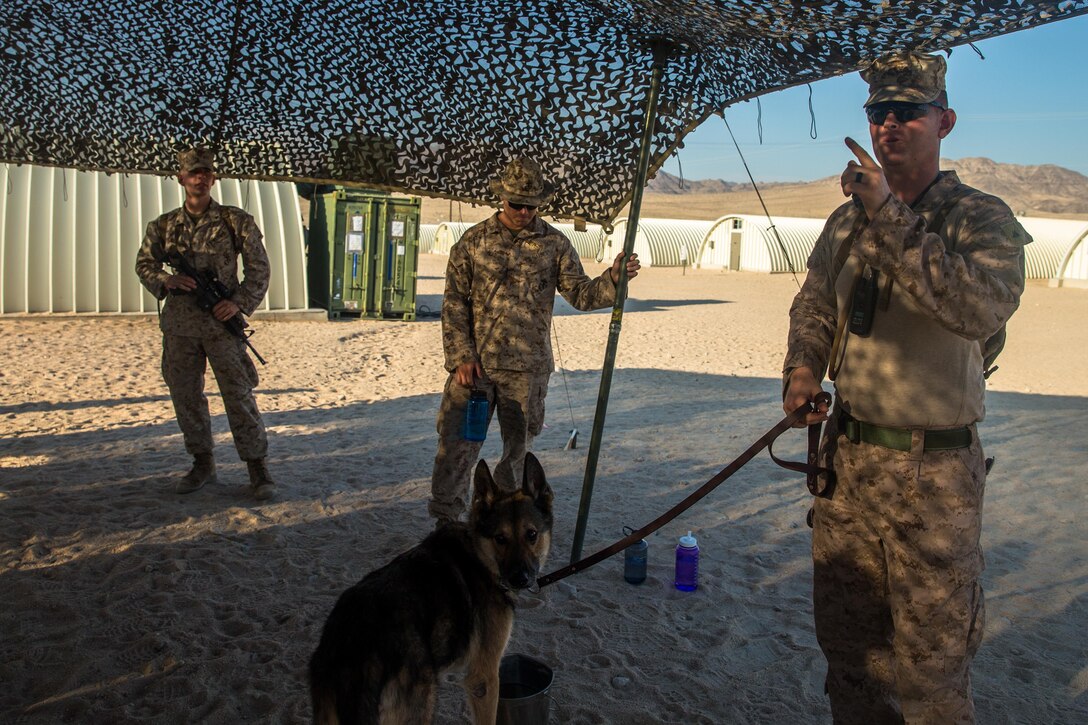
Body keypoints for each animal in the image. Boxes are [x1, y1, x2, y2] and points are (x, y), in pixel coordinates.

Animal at [311, 452, 557, 722]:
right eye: (500, 539)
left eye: (531, 534)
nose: (520, 579)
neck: (480, 556)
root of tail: (350, 642)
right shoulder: (484, 678)